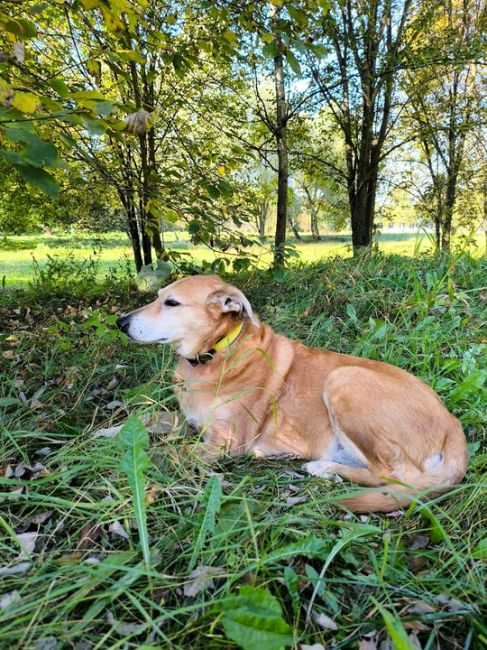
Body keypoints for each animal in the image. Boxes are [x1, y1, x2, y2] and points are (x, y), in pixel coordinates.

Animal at [117, 274, 468, 512]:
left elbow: (167, 453)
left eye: (172, 303)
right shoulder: (188, 421)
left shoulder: (224, 443)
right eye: (158, 296)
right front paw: (109, 435)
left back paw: (323, 469)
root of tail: (452, 422)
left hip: (344, 379)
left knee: (393, 476)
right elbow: (145, 419)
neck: (216, 353)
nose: (120, 322)